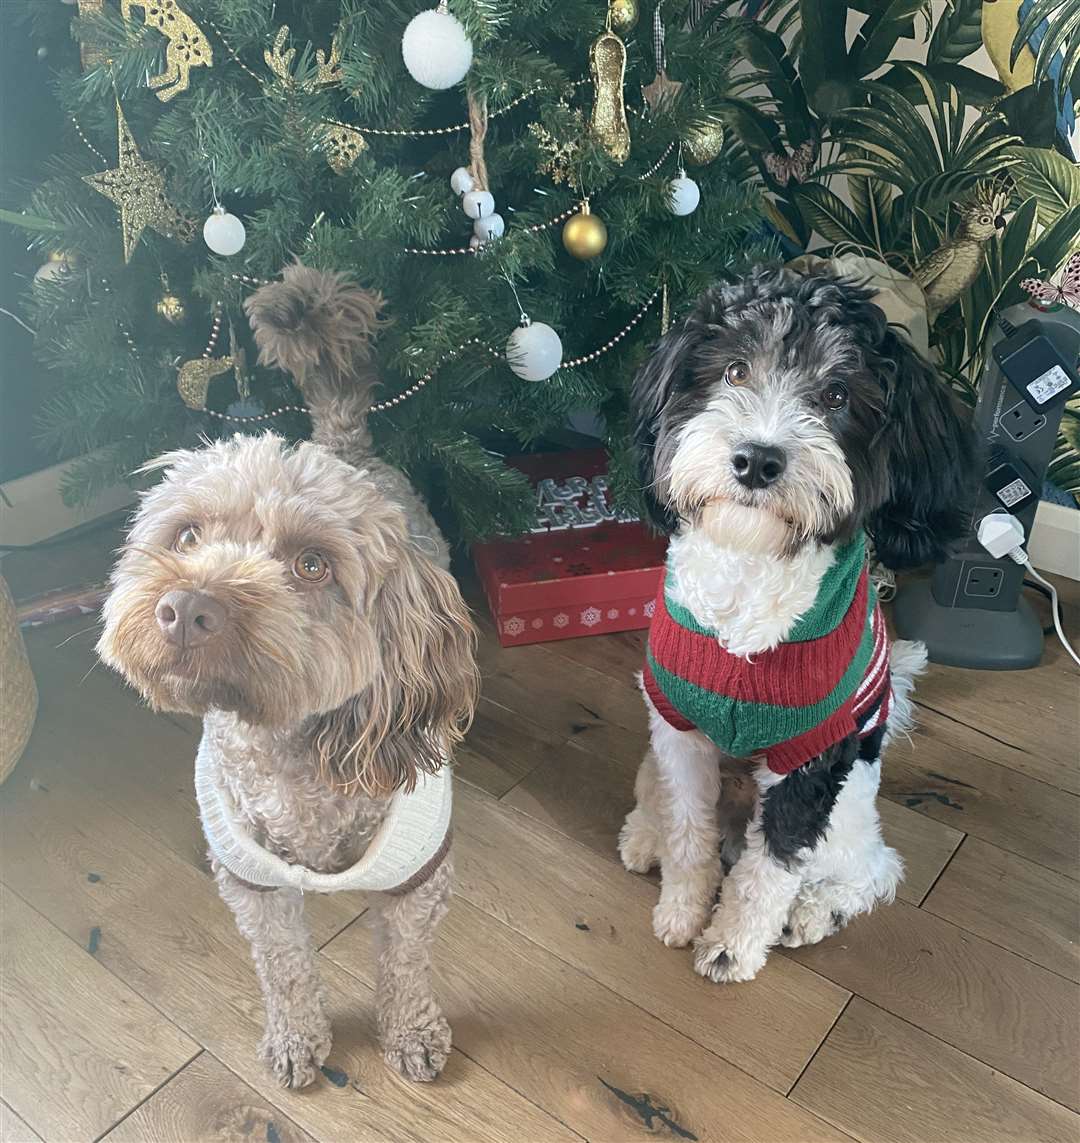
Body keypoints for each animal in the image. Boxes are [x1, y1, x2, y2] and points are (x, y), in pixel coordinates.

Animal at [621, 267, 973, 982]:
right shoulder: (678, 727)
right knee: (665, 804)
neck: (749, 578)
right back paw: (644, 836)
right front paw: (682, 909)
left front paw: (731, 945)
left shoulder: (812, 760)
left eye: (837, 394)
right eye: (734, 370)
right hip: (659, 751)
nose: (756, 459)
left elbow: (771, 866)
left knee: (872, 869)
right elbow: (688, 830)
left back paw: (816, 912)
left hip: (851, 809)